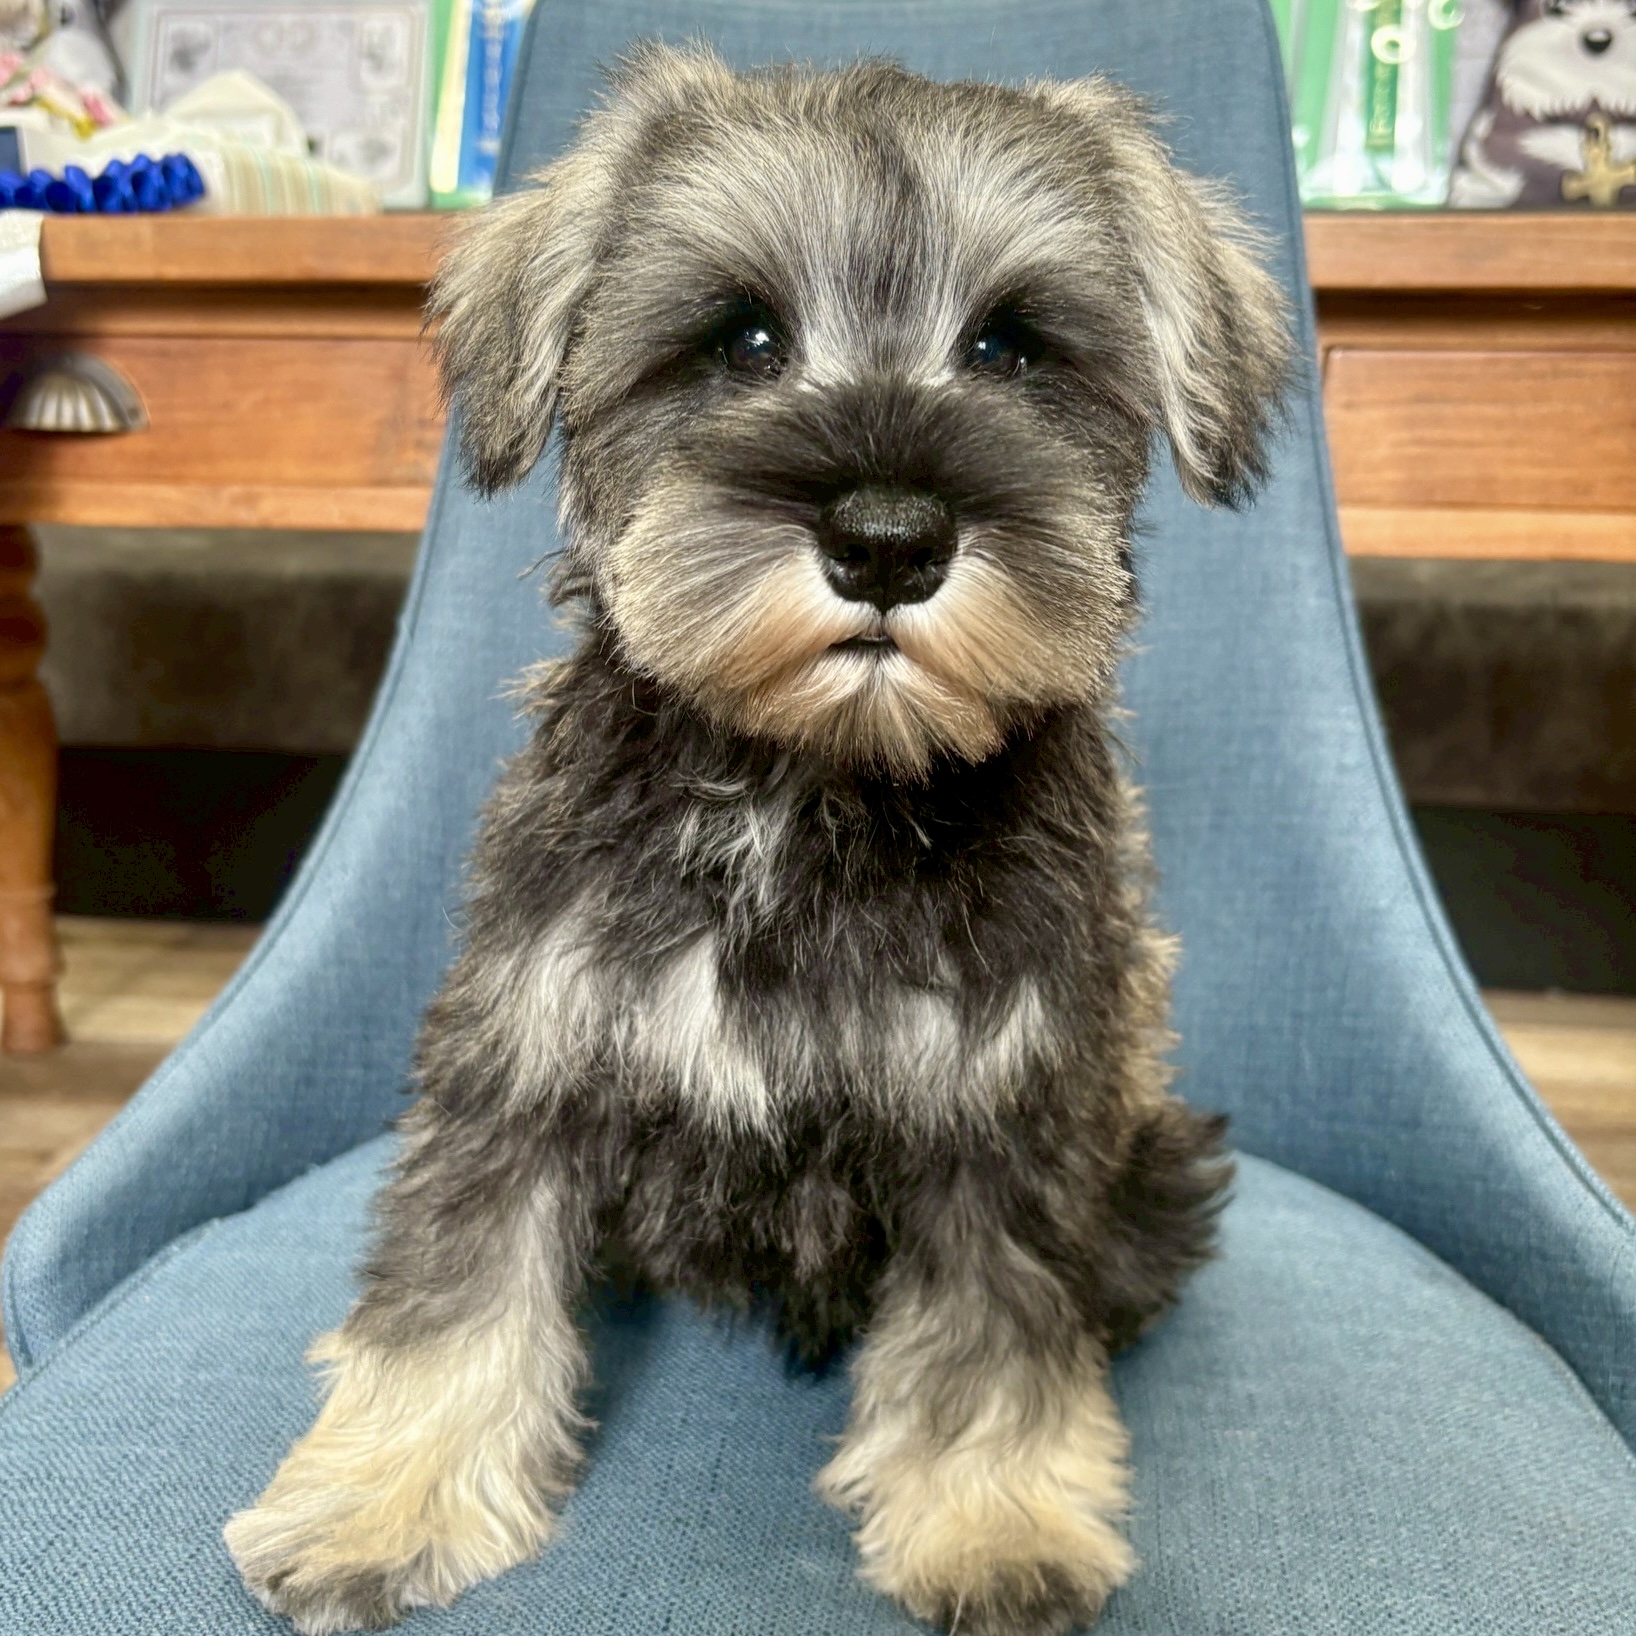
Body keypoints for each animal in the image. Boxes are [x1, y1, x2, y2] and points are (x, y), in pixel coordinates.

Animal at [224, 43, 1291, 1636]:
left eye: (1013, 349)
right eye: (742, 340)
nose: (889, 537)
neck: (814, 794)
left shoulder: (1006, 1115)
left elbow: (991, 1337)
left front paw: (992, 1526)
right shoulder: (523, 1056)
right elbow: (456, 1285)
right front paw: (381, 1500)